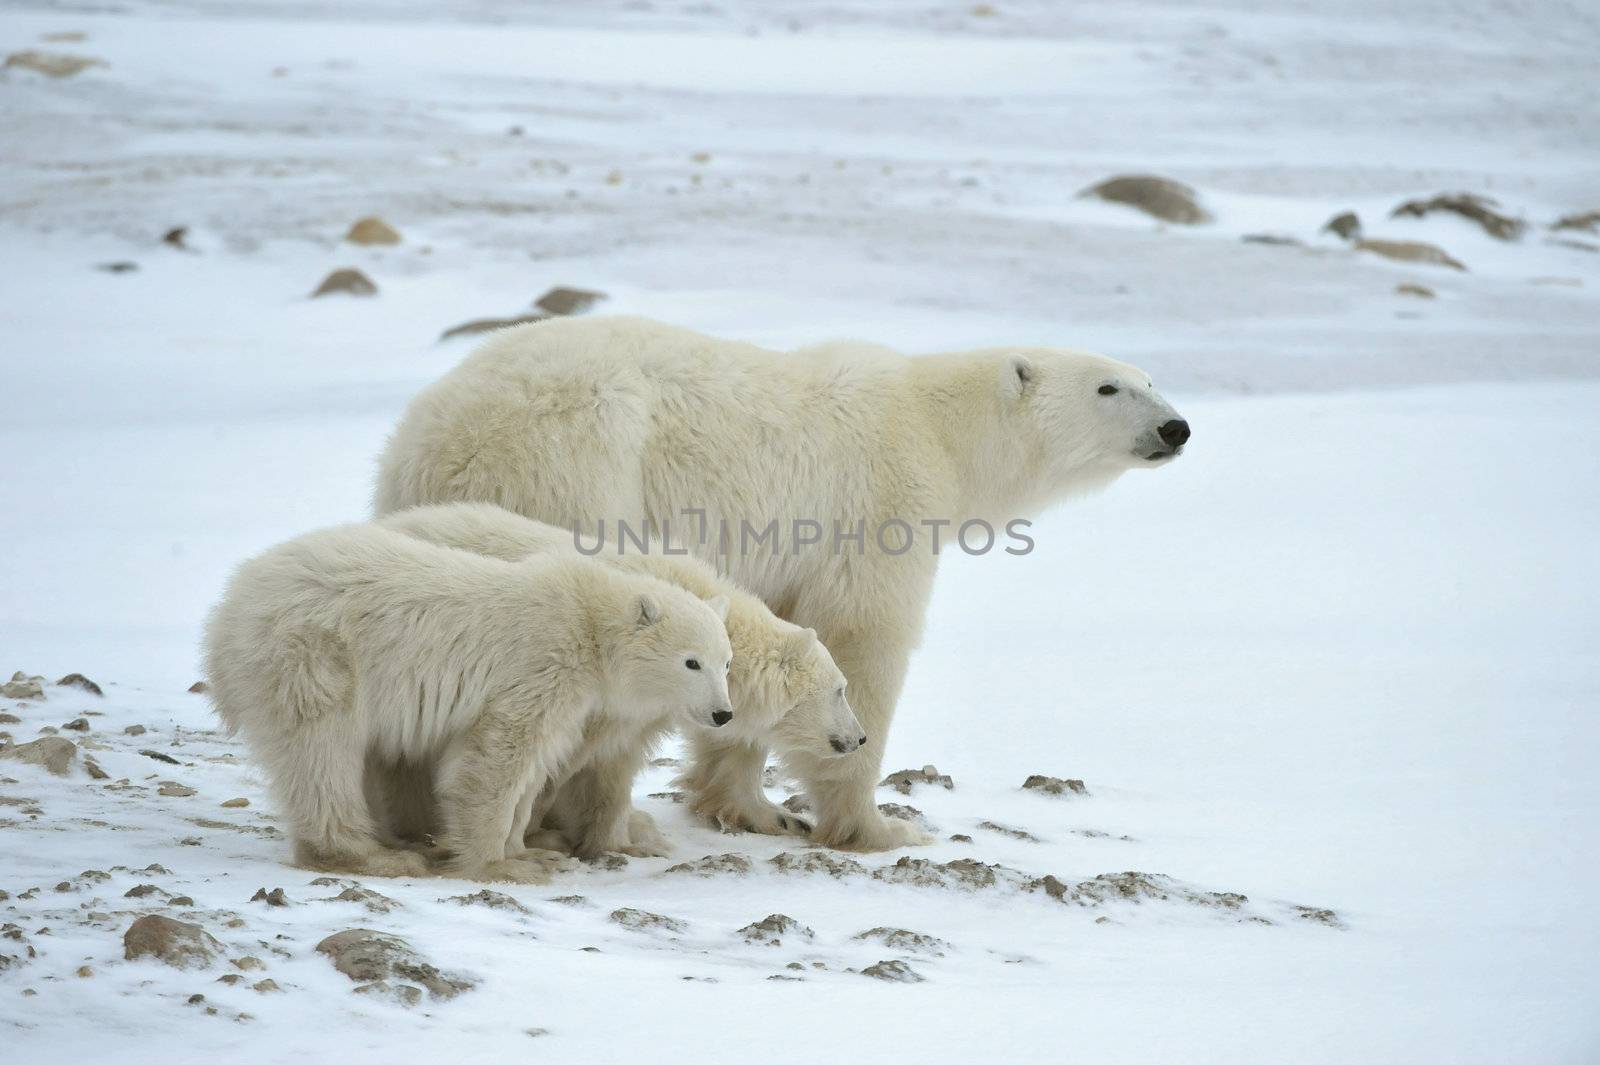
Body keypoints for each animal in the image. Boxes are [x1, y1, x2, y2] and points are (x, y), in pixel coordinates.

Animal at [195, 521, 736, 876]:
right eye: (692, 662)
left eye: (727, 661)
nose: (722, 713)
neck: (588, 619)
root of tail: (228, 607)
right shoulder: (539, 664)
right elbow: (498, 754)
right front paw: (500, 864)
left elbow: (535, 765)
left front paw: (529, 849)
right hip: (315, 655)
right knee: (322, 753)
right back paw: (375, 856)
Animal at [376, 502, 870, 857]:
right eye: (841, 689)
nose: (860, 738)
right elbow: (563, 758)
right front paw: (542, 832)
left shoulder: (642, 707)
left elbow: (613, 761)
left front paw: (619, 839)